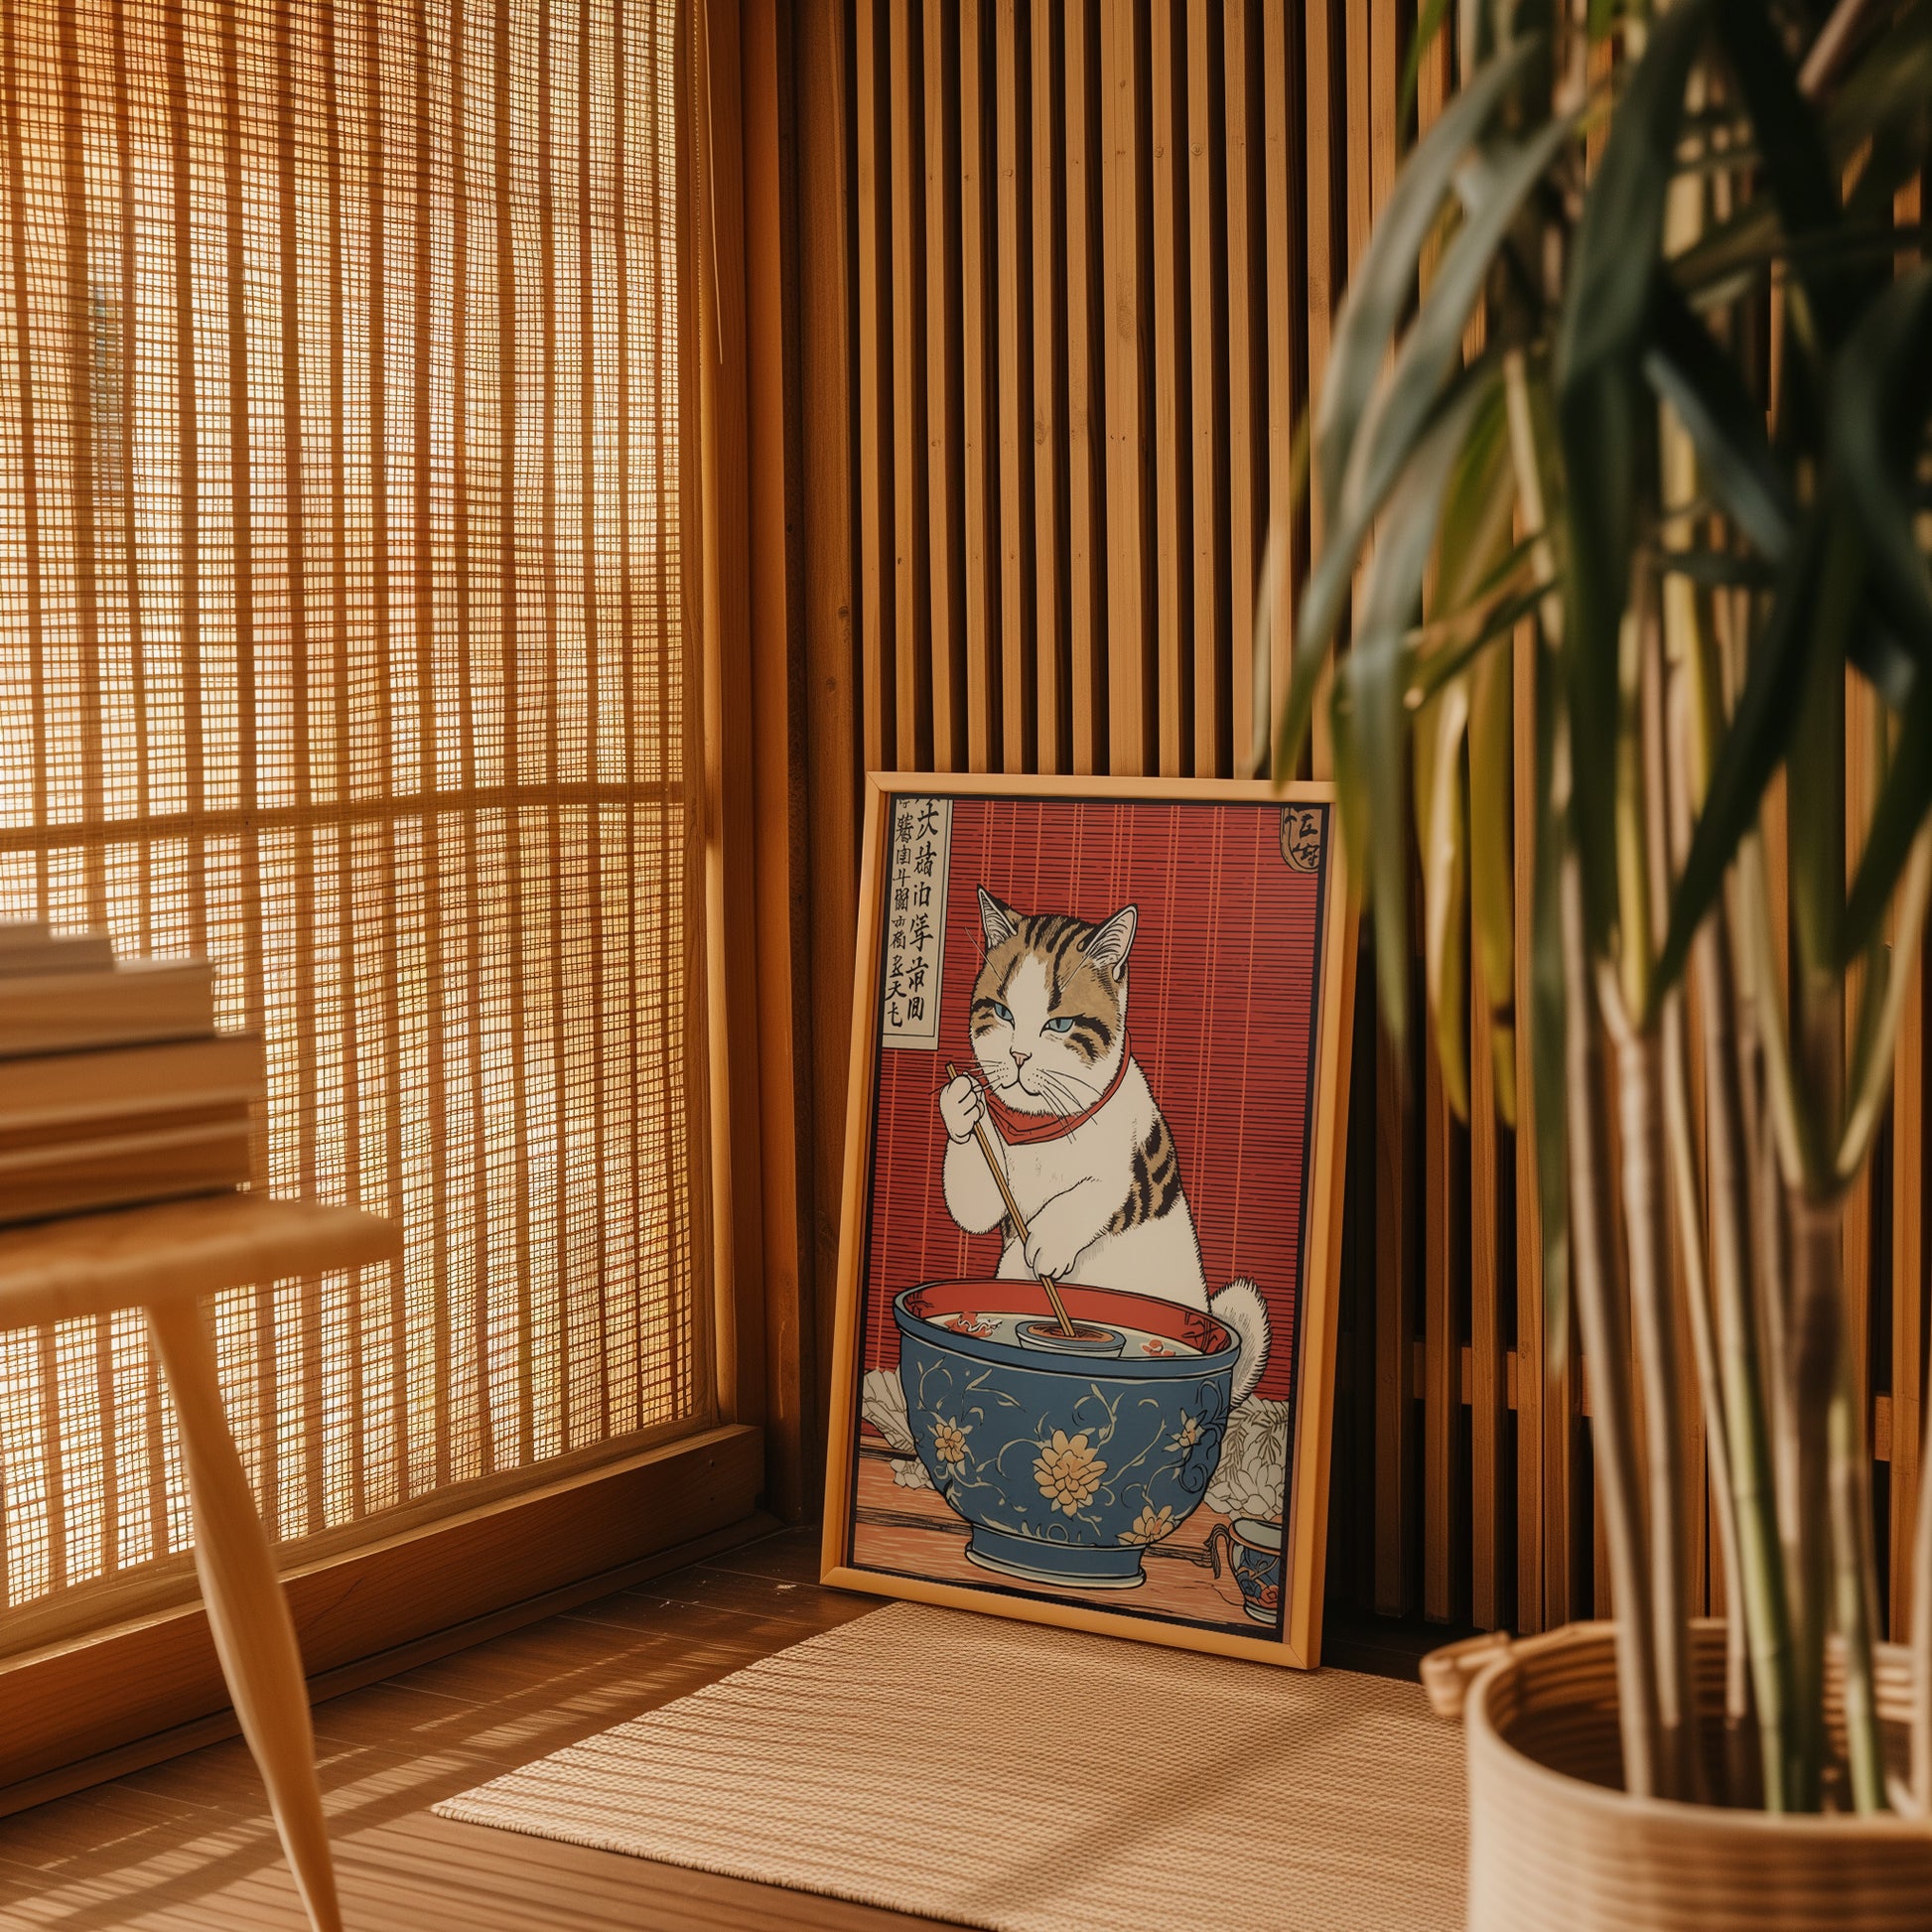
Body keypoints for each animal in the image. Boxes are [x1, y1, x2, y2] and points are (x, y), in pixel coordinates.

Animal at [934, 889, 1267, 1406]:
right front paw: (961, 1102)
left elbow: (1090, 1191)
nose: (1017, 1056)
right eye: (1004, 1014)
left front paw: (1048, 1244)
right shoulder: (993, 1183)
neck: (1041, 1122)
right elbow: (973, 1206)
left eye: (1059, 1025)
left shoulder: (1119, 1159)